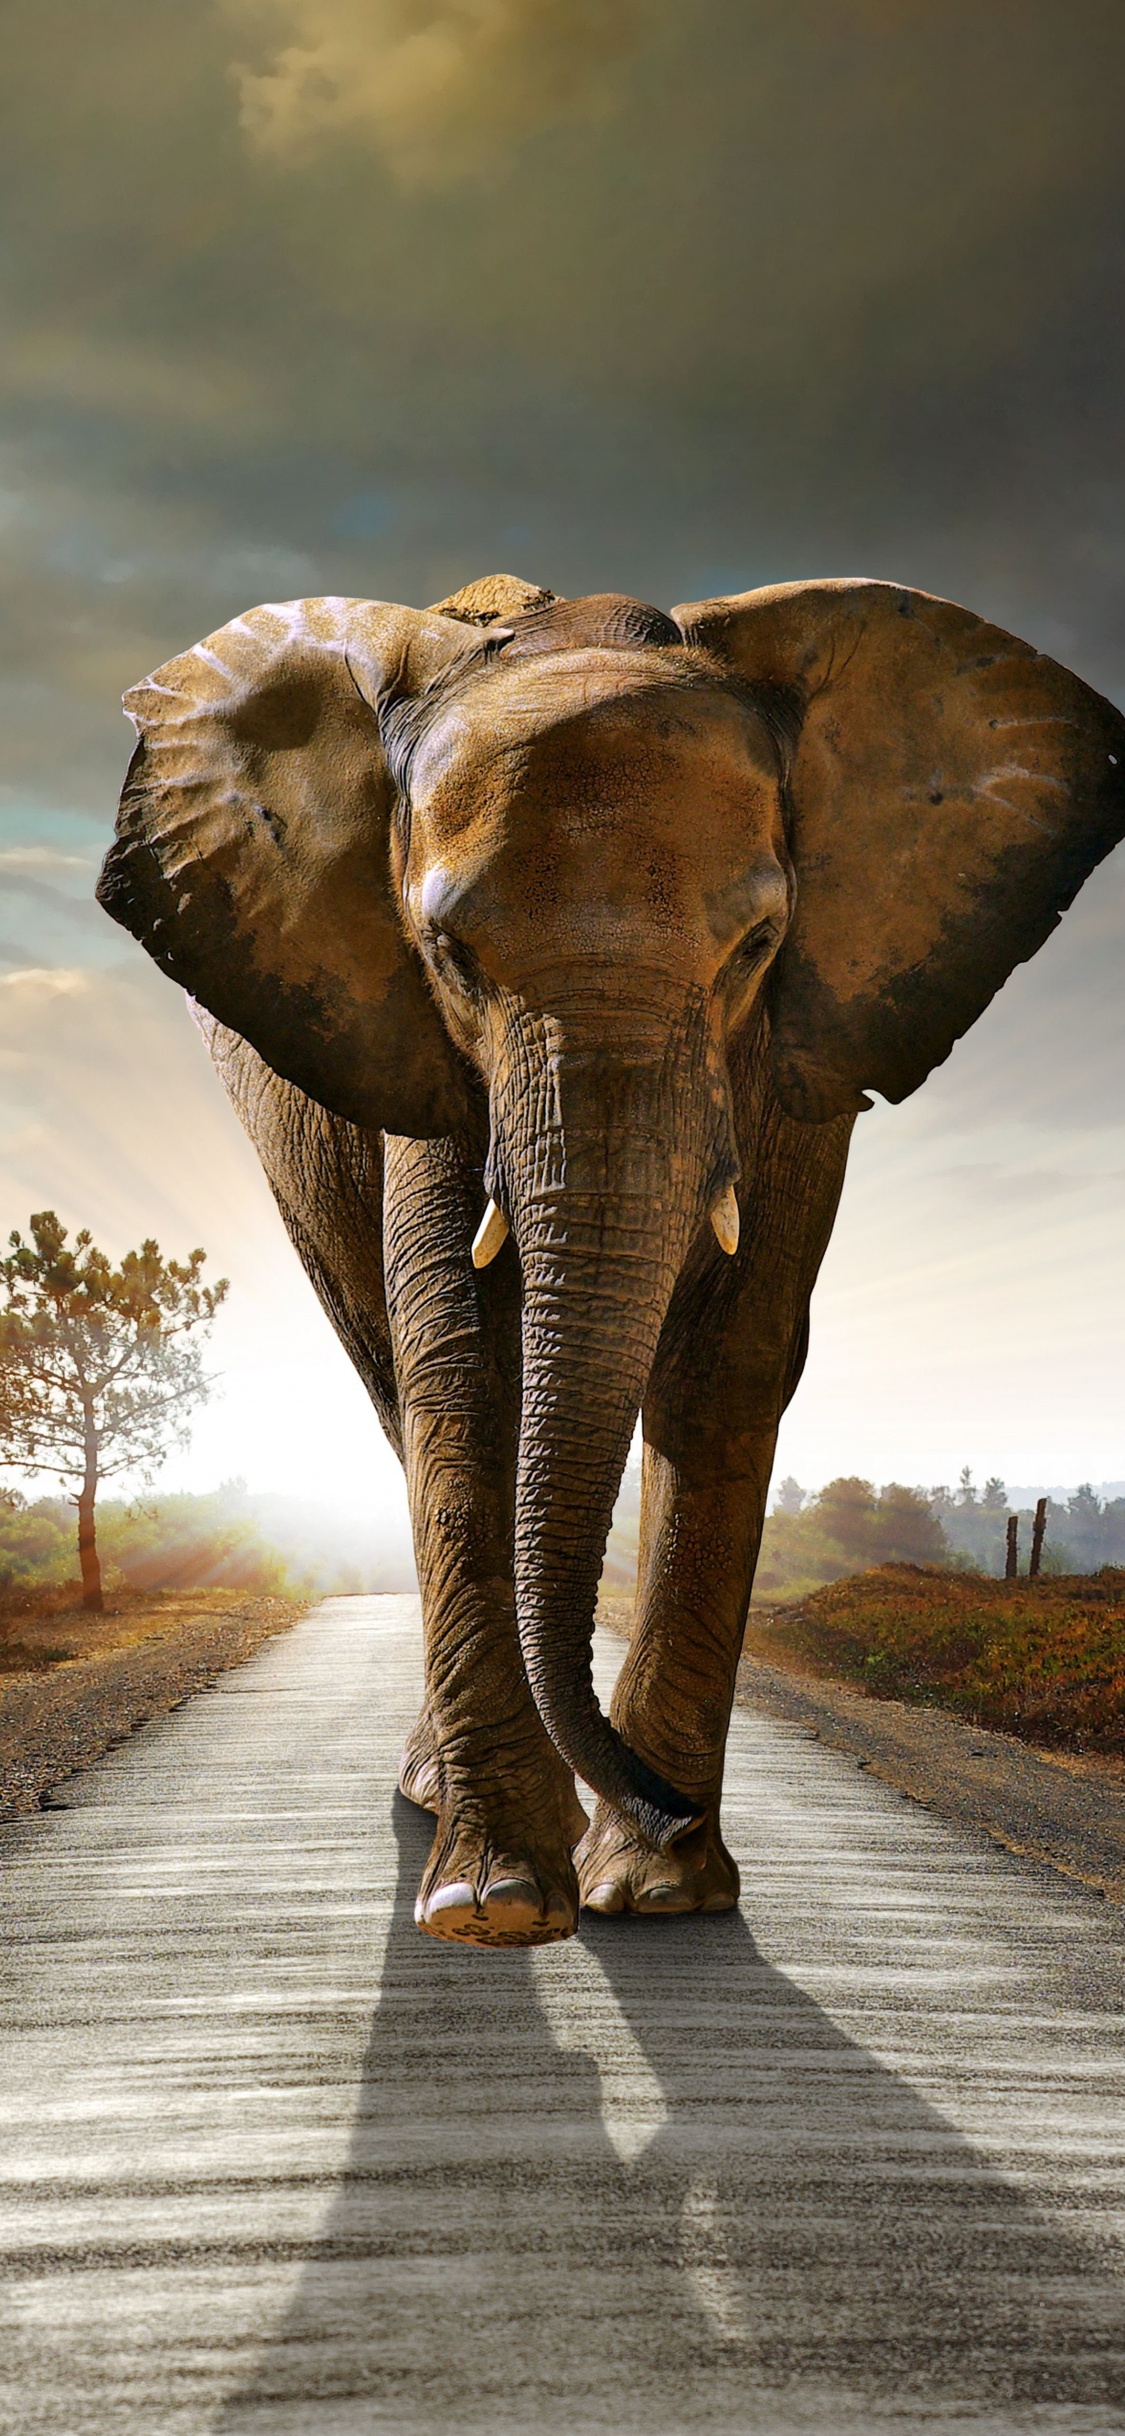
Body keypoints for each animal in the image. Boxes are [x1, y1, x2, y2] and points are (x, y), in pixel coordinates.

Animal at [96, 570, 1125, 1949]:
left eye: (757, 946)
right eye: (450, 956)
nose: (667, 1809)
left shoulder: (802, 1047)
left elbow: (732, 1359)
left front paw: (659, 1892)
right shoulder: (421, 1051)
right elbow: (463, 1360)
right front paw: (498, 1906)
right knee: (391, 1382)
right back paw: (443, 1806)